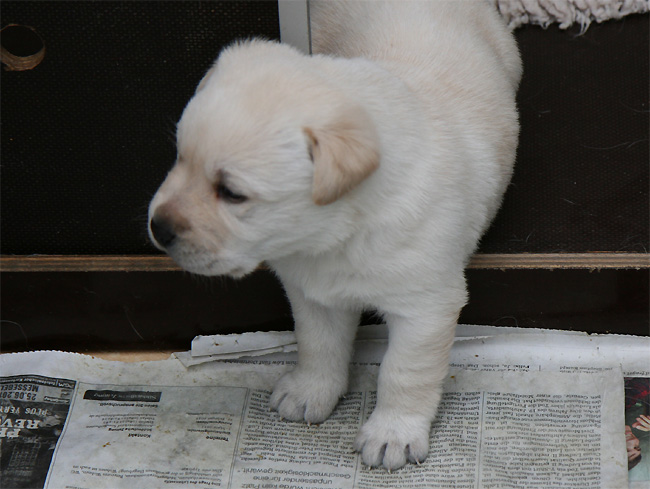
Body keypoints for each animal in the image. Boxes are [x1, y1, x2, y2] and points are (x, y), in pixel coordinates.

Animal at [149, 1, 520, 470]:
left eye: (232, 193)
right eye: (180, 157)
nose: (157, 228)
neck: (334, 234)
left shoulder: (426, 306)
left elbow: (404, 371)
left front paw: (393, 433)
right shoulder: (312, 294)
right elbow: (317, 344)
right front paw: (310, 392)